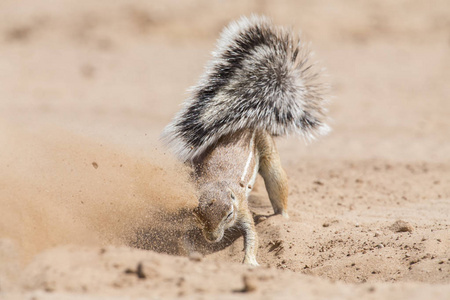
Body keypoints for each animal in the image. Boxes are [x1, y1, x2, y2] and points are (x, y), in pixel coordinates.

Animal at [162, 15, 326, 266]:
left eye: (228, 213)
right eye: (198, 213)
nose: (212, 238)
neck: (218, 184)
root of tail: (247, 122)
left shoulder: (243, 211)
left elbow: (253, 237)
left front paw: (249, 261)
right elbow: (183, 238)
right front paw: (192, 255)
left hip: (268, 154)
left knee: (278, 184)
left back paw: (282, 217)